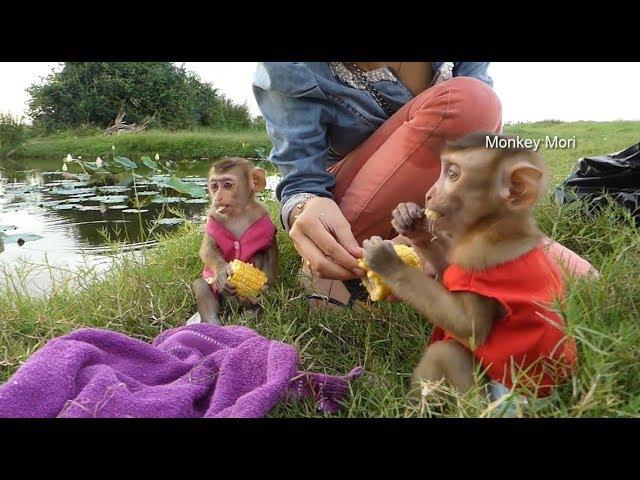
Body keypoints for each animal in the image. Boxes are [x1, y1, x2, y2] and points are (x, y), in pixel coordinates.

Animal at [362, 131, 576, 398]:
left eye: (453, 174)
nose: (429, 194)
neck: (490, 225)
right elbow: (447, 271)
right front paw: (412, 222)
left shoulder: (480, 255)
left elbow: (470, 327)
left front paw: (387, 262)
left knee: (446, 353)